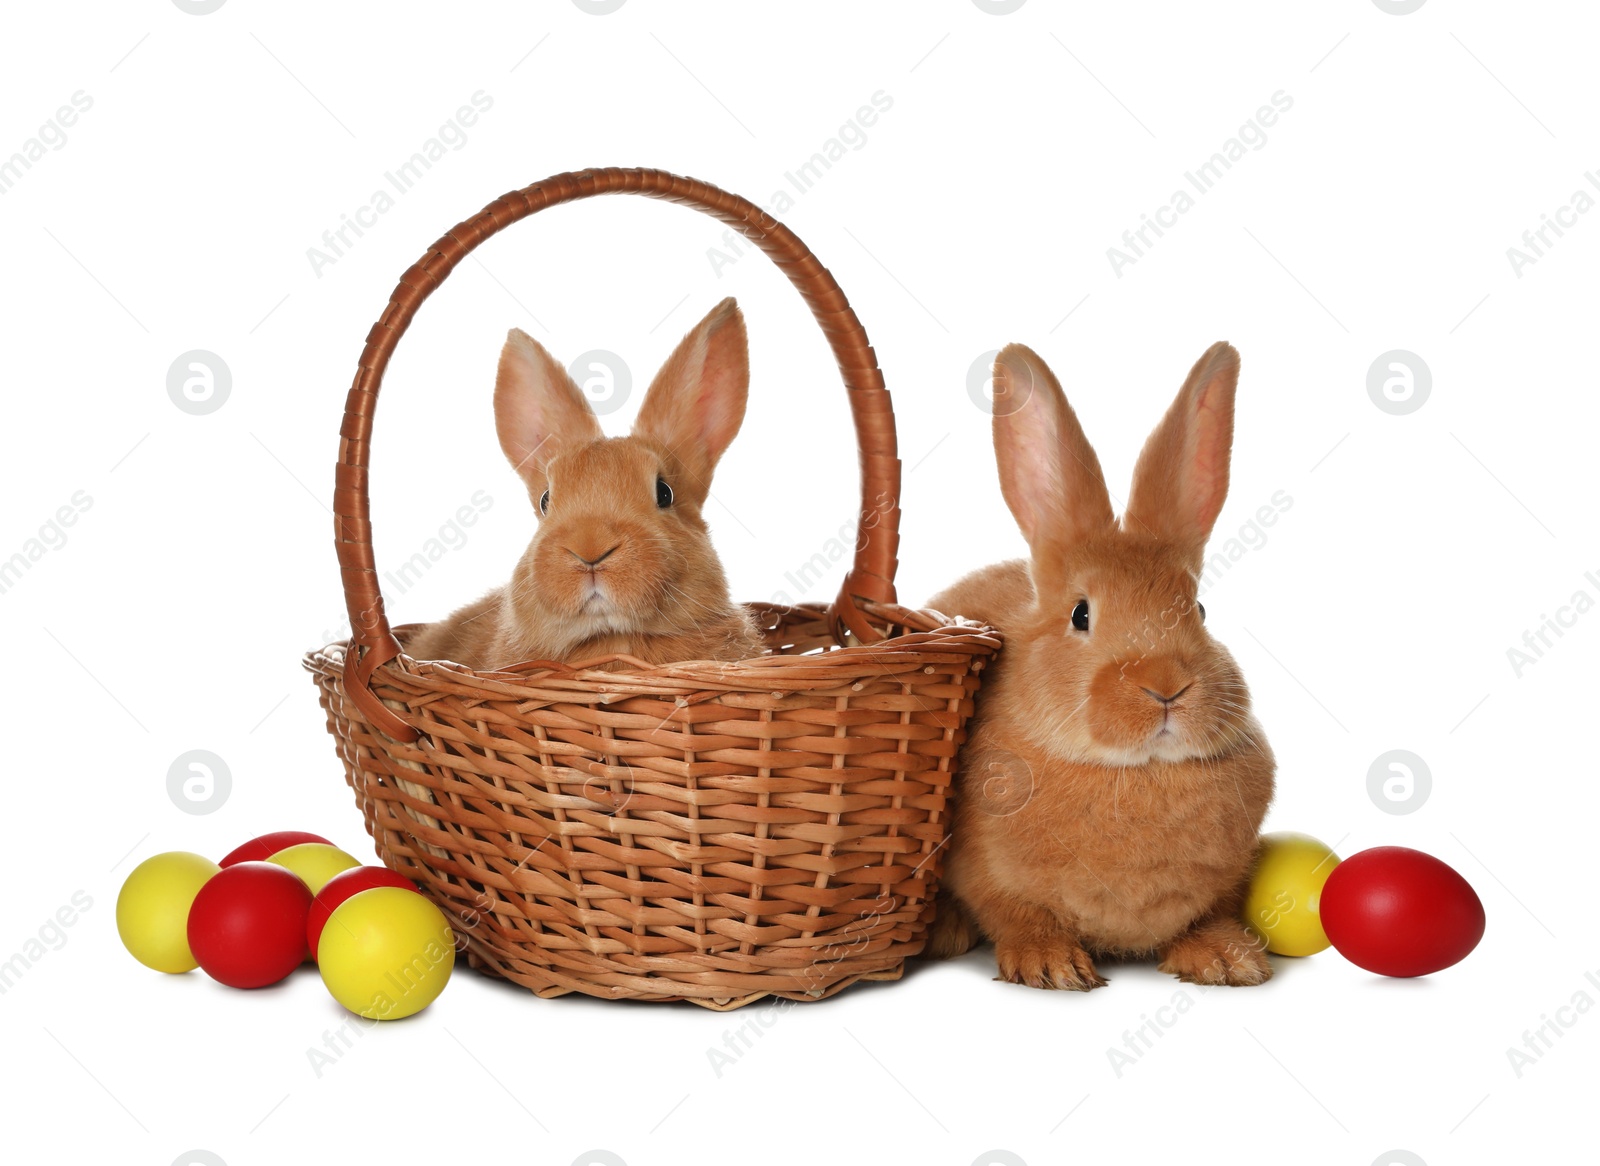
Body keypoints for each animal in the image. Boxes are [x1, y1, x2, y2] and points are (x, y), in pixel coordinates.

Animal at [928, 340, 1273, 985]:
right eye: (1080, 614)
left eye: (1199, 608)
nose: (1165, 685)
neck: (1135, 773)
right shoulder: (986, 874)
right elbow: (1015, 914)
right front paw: (1050, 966)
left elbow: (1205, 916)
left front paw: (1228, 960)